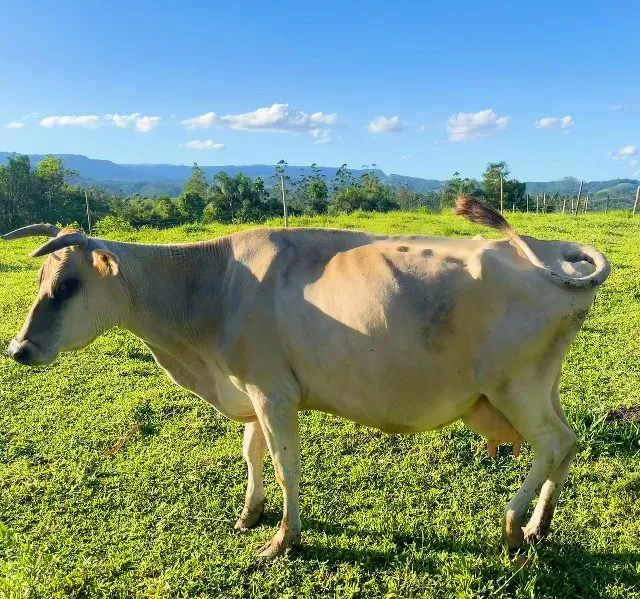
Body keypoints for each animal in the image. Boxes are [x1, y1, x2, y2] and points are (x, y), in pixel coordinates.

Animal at [2, 197, 610, 559]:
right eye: (40, 280)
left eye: (67, 286)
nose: (18, 348)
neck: (213, 289)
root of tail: (544, 251)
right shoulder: (250, 386)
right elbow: (251, 453)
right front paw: (249, 515)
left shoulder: (273, 391)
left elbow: (284, 463)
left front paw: (283, 539)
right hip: (541, 385)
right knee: (568, 442)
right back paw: (539, 526)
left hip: (515, 387)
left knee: (551, 444)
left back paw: (512, 524)